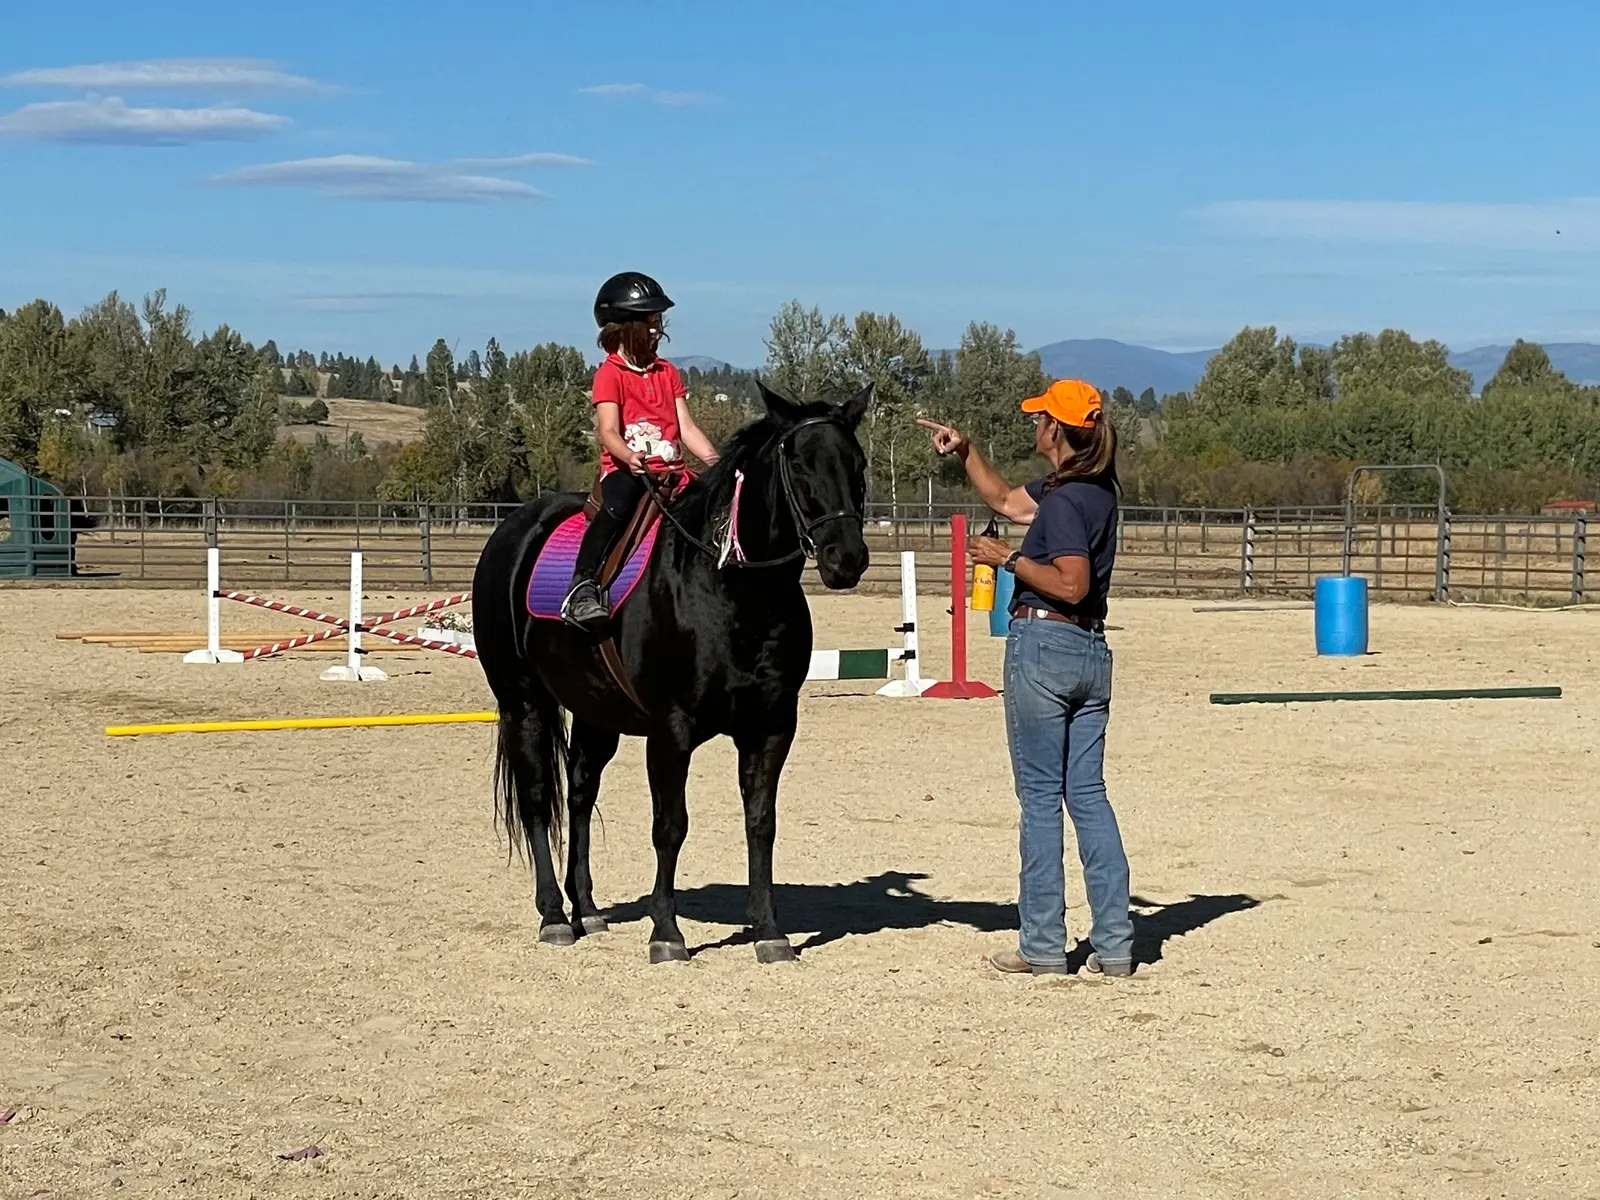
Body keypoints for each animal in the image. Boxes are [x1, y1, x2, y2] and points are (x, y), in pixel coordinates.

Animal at [470, 381, 871, 964]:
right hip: (523, 702)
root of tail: (514, 530)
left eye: (858, 463)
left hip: (596, 714)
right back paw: (554, 917)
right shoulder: (671, 729)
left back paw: (586, 909)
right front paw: (667, 933)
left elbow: (761, 823)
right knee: (539, 799)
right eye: (798, 463)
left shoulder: (772, 726)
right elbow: (670, 826)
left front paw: (769, 931)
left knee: (581, 794)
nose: (847, 558)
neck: (732, 589)